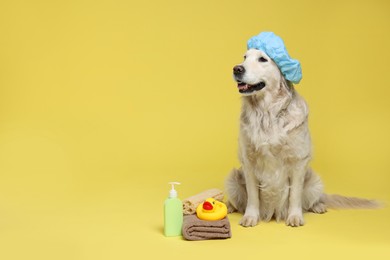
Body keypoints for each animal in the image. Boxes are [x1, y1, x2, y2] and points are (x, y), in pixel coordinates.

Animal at [224, 47, 380, 226]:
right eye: (244, 57)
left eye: (262, 59)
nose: (237, 69)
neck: (267, 113)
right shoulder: (248, 161)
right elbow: (252, 195)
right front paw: (250, 217)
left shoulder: (298, 161)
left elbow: (295, 195)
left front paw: (294, 217)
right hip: (233, 179)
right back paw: (229, 206)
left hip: (314, 182)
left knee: (312, 200)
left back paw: (319, 206)